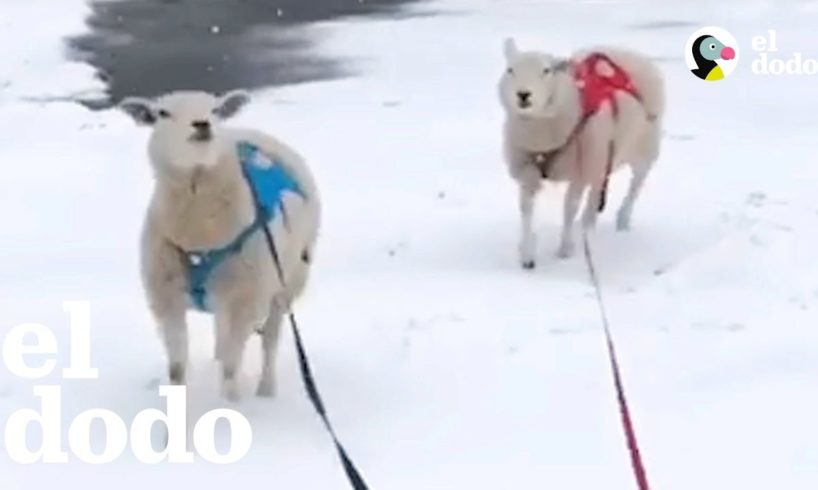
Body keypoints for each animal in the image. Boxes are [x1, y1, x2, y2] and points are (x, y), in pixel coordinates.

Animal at [119, 90, 320, 400]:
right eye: (162, 113)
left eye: (215, 110)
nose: (202, 124)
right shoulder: (165, 297)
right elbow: (177, 367)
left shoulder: (244, 299)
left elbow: (231, 366)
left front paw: (231, 404)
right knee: (223, 336)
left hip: (287, 280)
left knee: (270, 339)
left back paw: (266, 390)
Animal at [498, 38, 664, 268]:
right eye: (510, 70)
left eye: (546, 70)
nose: (523, 95)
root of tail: (627, 51)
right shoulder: (526, 169)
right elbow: (526, 209)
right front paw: (527, 254)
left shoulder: (579, 171)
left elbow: (569, 208)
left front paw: (565, 249)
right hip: (601, 158)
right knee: (596, 195)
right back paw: (588, 225)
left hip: (643, 148)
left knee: (635, 184)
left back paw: (621, 219)